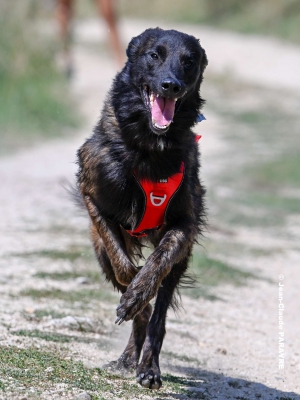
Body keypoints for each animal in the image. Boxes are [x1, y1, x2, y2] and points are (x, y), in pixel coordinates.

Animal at [76, 26, 207, 390]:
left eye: (188, 61)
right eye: (154, 55)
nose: (171, 85)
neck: (150, 148)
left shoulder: (184, 225)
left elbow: (157, 264)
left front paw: (139, 291)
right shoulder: (91, 195)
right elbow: (123, 265)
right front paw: (133, 289)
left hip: (180, 261)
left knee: (158, 315)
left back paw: (147, 366)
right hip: (99, 251)